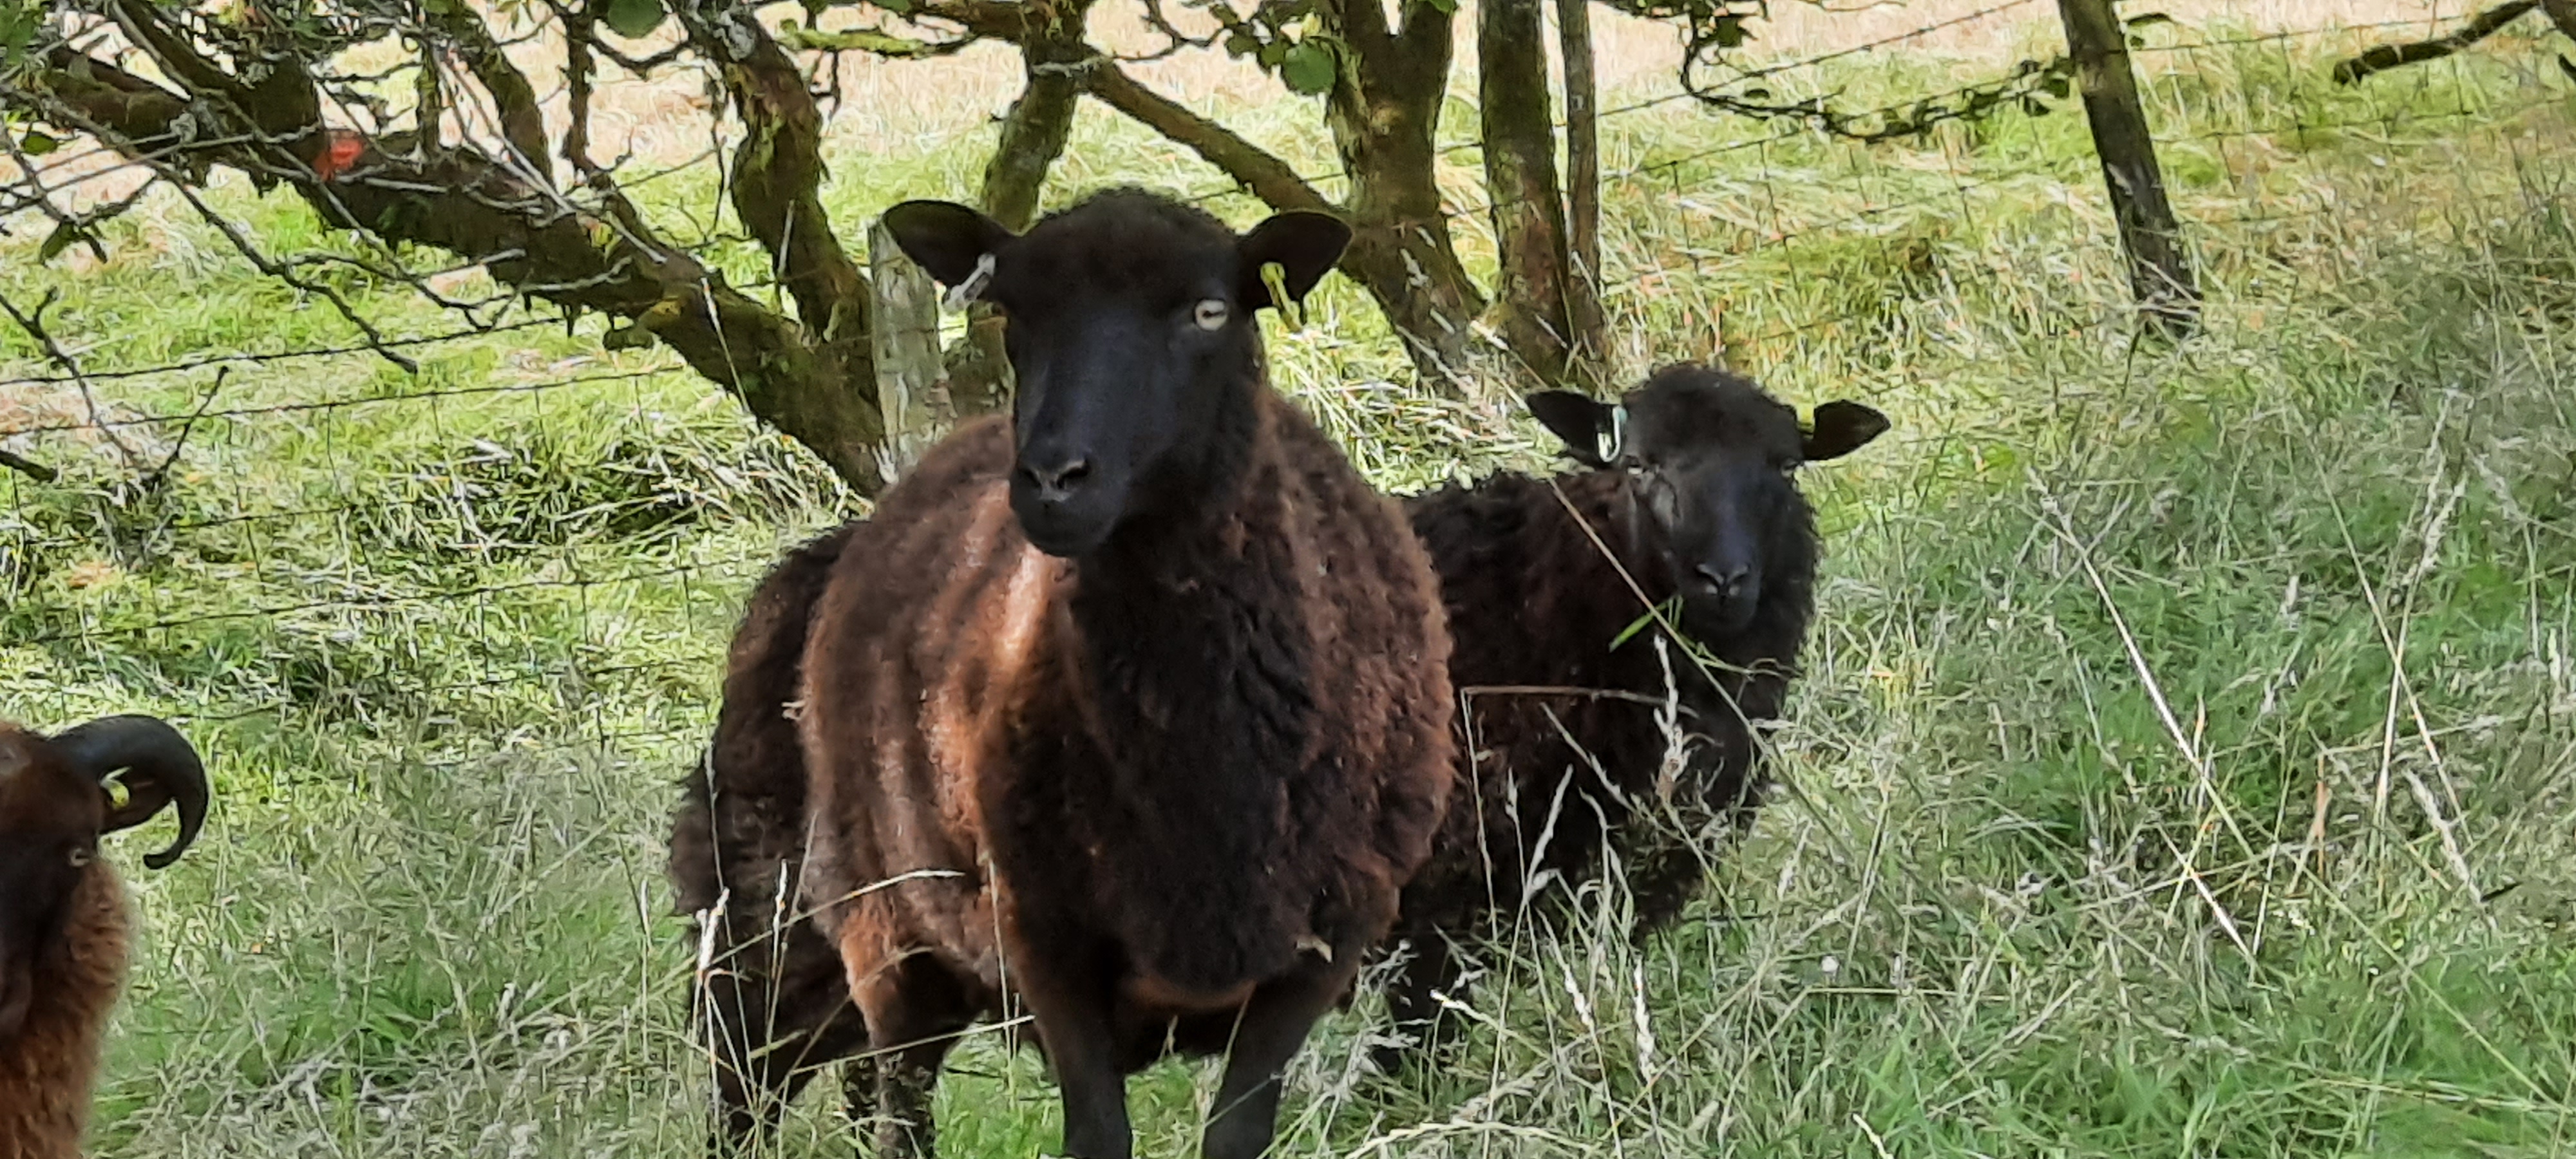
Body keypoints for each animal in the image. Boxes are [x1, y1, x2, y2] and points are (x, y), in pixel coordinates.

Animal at [790, 186, 1455, 1159]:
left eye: (1209, 311)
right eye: (1013, 311)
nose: (1053, 481)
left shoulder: (1321, 952)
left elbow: (1235, 1137)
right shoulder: (1045, 940)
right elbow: (1098, 1137)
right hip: (886, 922)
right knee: (899, 1106)